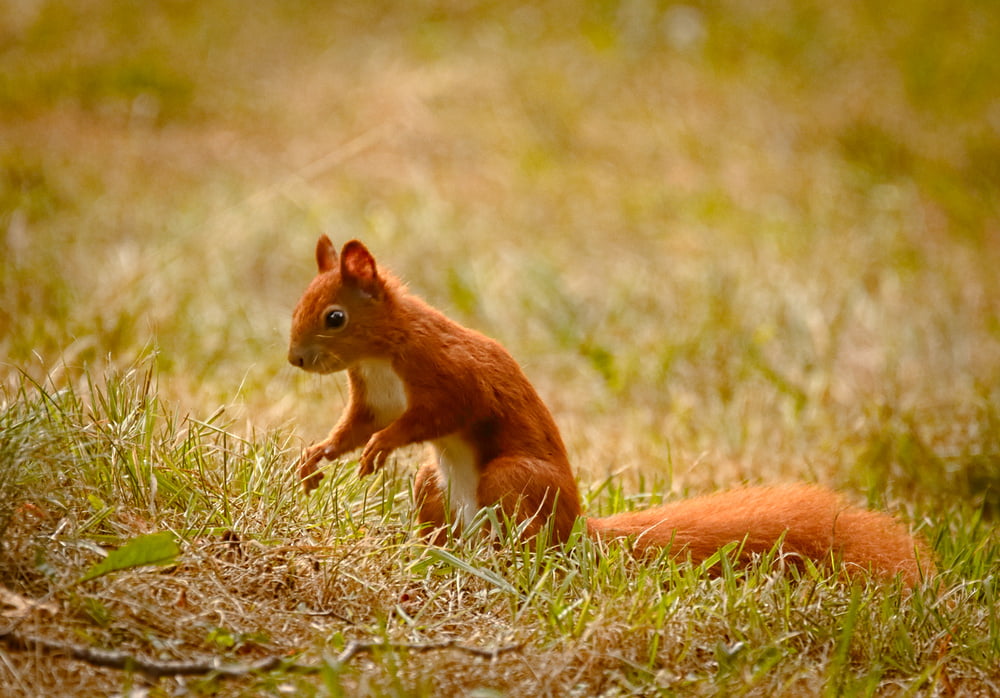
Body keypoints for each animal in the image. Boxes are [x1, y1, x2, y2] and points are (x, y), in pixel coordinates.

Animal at [288, 236, 934, 586]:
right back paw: (428, 552)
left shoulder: (448, 374)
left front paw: (380, 449)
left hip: (513, 478)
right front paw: (318, 456)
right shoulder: (373, 394)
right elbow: (357, 426)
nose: (294, 359)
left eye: (335, 317)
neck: (382, 352)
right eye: (299, 305)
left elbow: (435, 415)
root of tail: (577, 530)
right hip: (434, 485)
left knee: (527, 540)